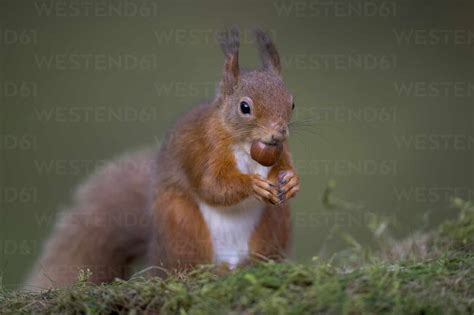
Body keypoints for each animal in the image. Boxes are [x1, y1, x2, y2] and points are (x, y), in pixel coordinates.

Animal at [25, 29, 298, 292]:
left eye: (292, 103)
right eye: (244, 107)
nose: (278, 133)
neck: (245, 144)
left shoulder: (281, 153)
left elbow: (282, 169)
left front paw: (292, 181)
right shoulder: (203, 149)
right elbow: (212, 186)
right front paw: (252, 184)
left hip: (274, 221)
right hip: (181, 224)